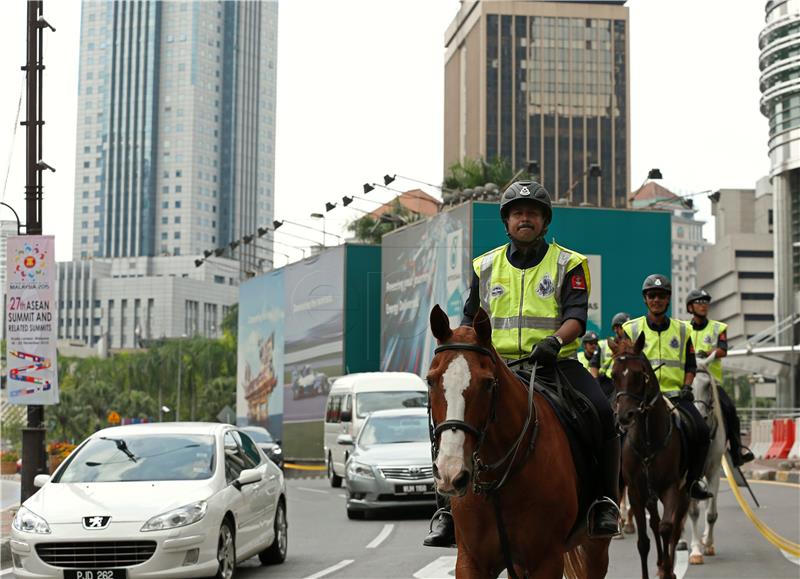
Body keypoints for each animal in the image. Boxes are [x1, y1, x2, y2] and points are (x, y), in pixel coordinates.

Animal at [428, 306, 608, 576]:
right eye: (430, 380)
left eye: (487, 383)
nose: (451, 472)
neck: (497, 482)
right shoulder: (471, 561)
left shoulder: (546, 561)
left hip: (594, 547)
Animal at [608, 336, 692, 579]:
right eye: (613, 375)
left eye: (639, 374)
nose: (624, 416)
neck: (647, 440)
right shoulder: (636, 491)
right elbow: (644, 542)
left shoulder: (672, 487)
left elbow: (667, 528)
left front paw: (668, 569)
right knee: (654, 522)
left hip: (682, 492)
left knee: (673, 527)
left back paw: (667, 565)